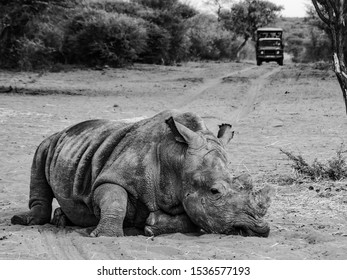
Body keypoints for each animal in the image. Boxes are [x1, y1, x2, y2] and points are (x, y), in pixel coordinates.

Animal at [11, 110, 272, 237]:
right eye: (214, 191)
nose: (260, 229)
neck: (176, 158)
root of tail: (66, 129)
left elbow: (190, 220)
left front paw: (152, 225)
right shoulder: (112, 176)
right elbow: (114, 198)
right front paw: (104, 235)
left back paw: (62, 219)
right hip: (52, 140)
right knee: (40, 154)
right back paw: (25, 221)